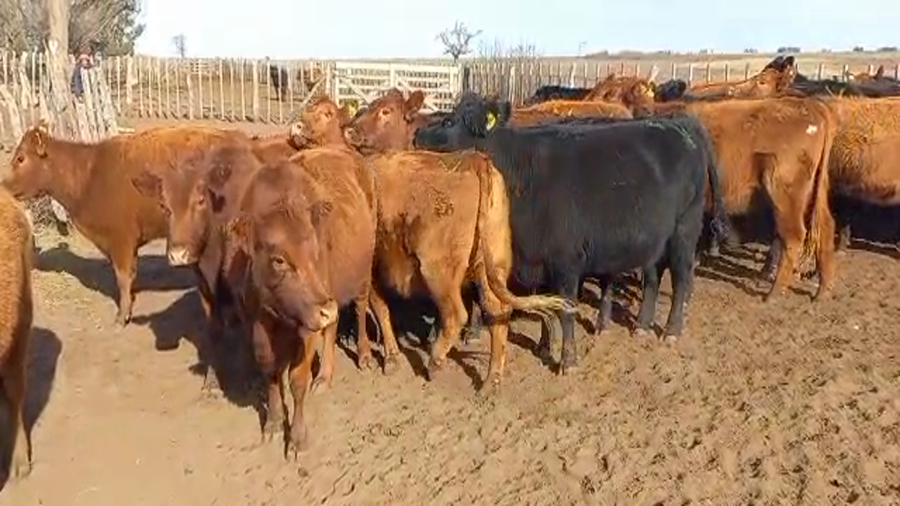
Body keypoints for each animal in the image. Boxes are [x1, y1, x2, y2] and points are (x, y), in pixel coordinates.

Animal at [3, 123, 253, 327]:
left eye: (21, 158)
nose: (4, 185)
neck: (88, 175)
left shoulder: (121, 240)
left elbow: (122, 278)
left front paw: (122, 316)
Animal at [413, 92, 735, 373]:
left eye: (449, 121)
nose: (416, 135)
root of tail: (681, 122)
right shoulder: (536, 257)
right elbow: (544, 304)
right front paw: (545, 345)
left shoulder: (566, 260)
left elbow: (566, 309)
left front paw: (568, 360)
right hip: (654, 238)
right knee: (654, 278)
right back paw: (643, 326)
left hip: (684, 230)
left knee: (681, 278)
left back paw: (671, 330)